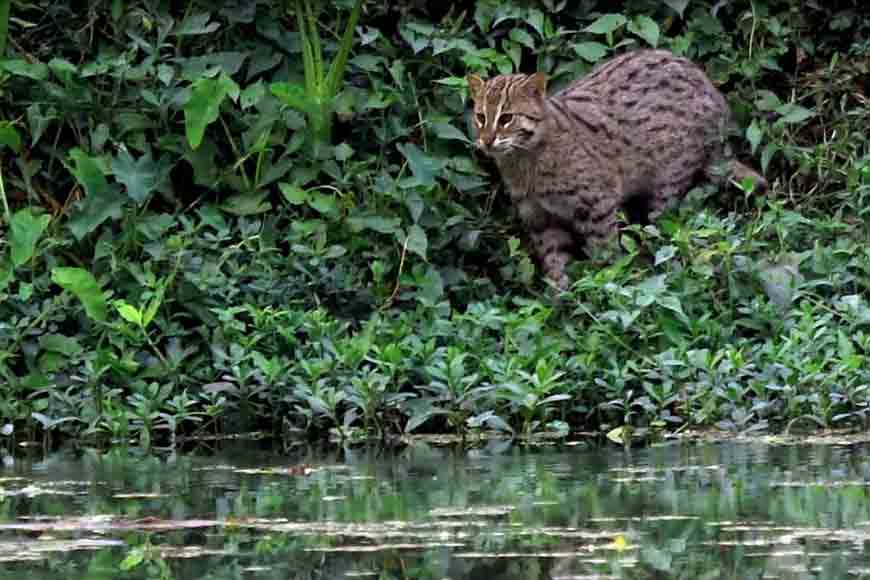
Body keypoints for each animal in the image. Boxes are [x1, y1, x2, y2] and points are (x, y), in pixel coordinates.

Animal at [470, 48, 768, 288]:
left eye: (506, 118)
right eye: (480, 117)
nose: (486, 141)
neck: (524, 160)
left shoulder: (597, 203)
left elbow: (605, 254)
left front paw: (604, 289)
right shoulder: (539, 217)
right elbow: (555, 262)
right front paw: (561, 300)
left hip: (670, 179)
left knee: (664, 225)